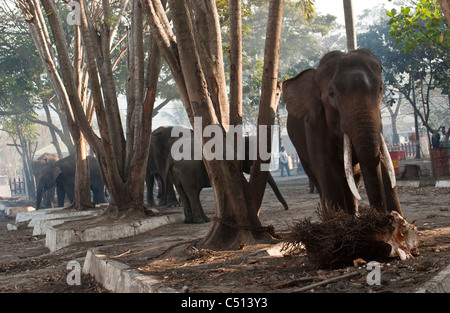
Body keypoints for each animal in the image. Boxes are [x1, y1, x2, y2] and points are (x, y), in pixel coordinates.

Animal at [284, 48, 402, 214]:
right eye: (332, 96)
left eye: (380, 89)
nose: (382, 214)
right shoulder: (315, 126)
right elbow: (330, 177)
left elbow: (384, 164)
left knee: (353, 180)